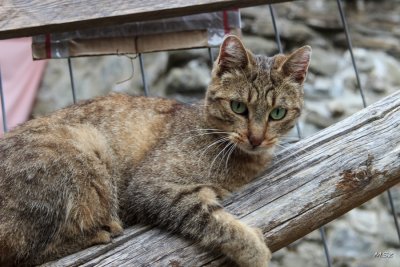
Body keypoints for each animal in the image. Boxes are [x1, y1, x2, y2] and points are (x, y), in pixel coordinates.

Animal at [0, 34, 312, 266]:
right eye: (238, 107)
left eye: (278, 113)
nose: (256, 138)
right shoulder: (151, 187)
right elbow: (212, 218)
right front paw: (253, 250)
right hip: (85, 145)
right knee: (27, 253)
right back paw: (102, 231)